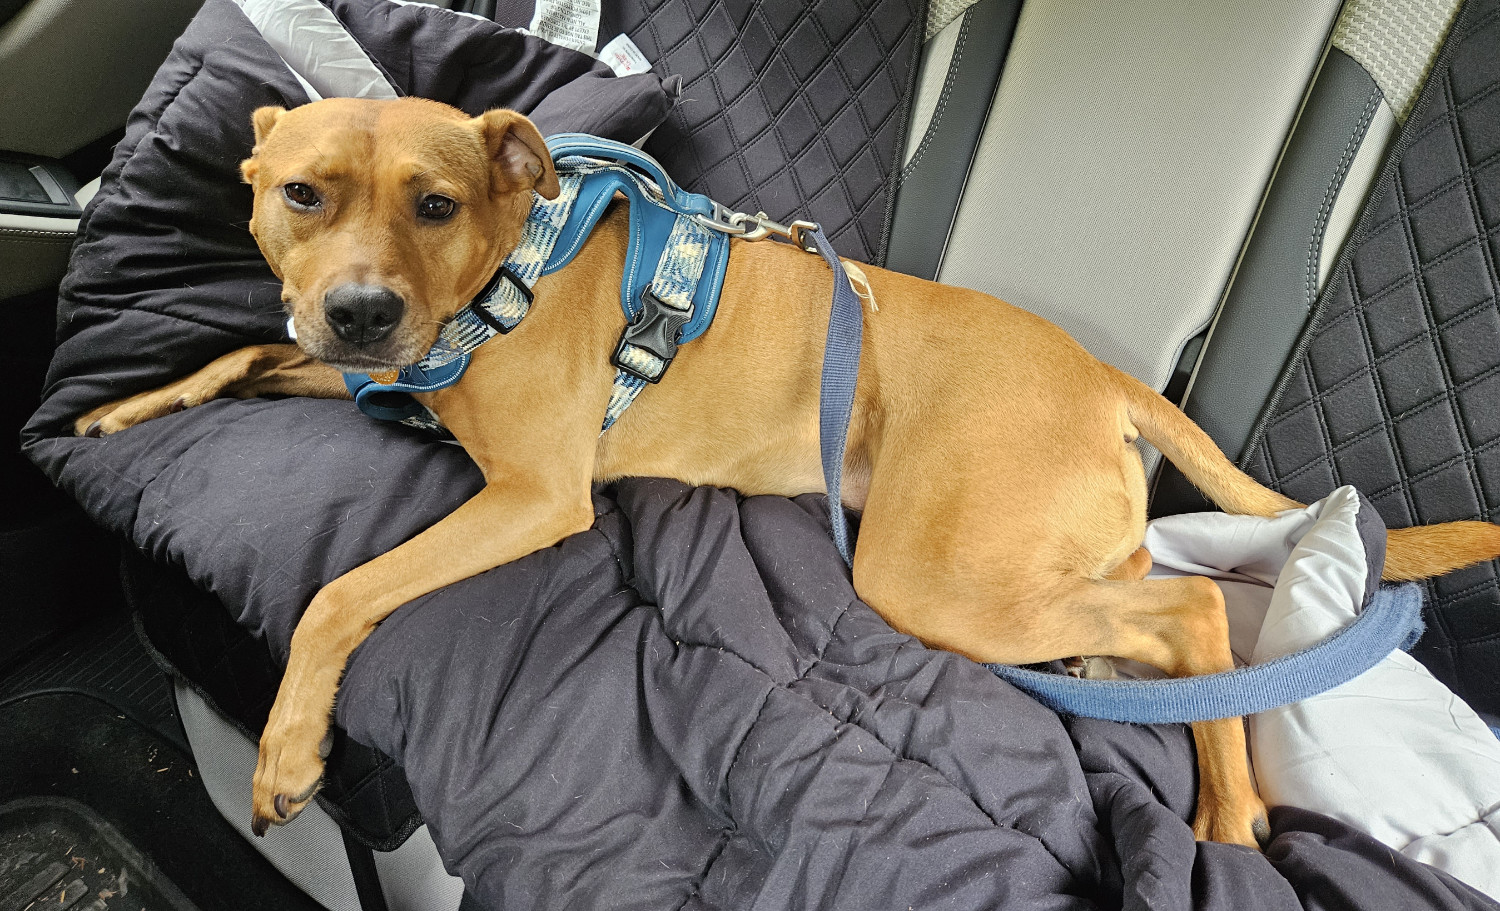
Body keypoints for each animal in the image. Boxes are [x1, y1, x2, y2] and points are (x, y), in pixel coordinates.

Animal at [73, 98, 1500, 846]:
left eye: (435, 202)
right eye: (301, 194)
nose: (362, 311)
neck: (509, 264)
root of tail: (1105, 374)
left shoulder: (530, 496)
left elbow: (337, 594)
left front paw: (289, 746)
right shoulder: (375, 373)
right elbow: (250, 348)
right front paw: (132, 401)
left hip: (927, 577)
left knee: (1199, 602)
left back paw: (1226, 800)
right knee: (1150, 590)